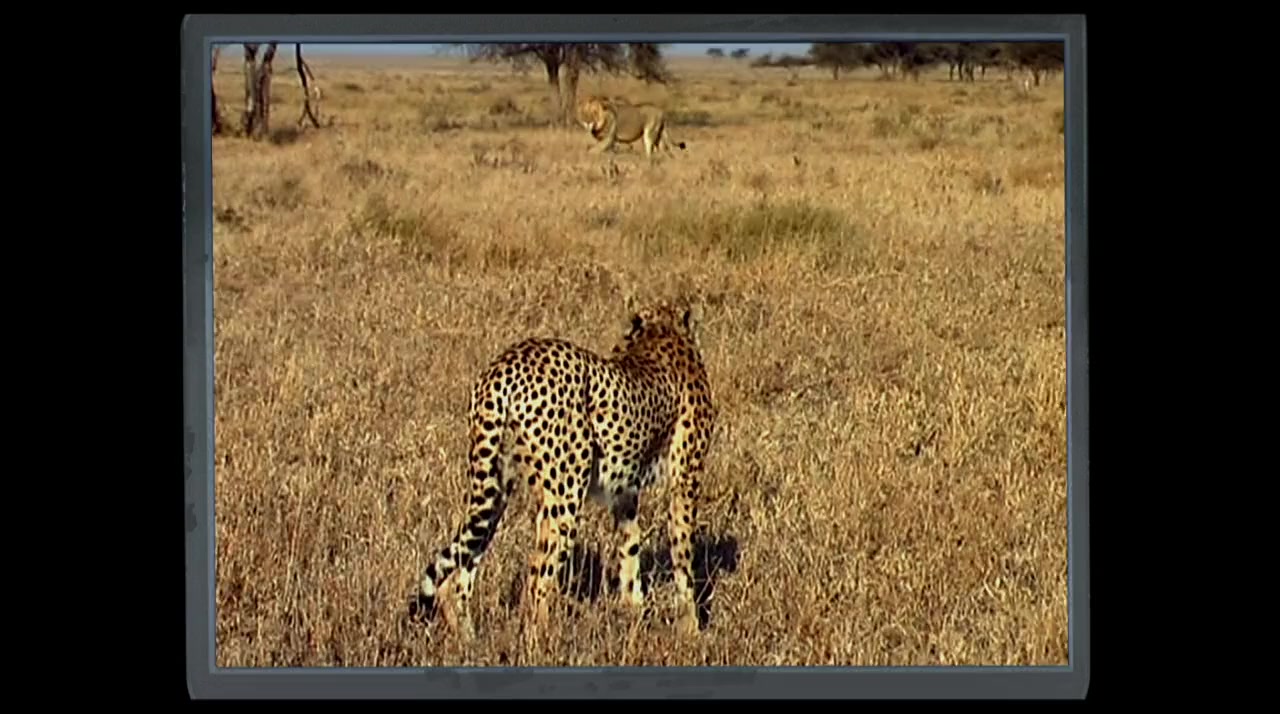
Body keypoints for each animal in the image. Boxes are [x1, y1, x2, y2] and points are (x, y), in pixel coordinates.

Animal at [408, 299, 716, 642]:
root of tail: (506, 365)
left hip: (494, 484)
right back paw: (542, 640)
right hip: (565, 492)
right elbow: (683, 552)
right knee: (537, 576)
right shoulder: (686, 476)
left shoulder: (624, 489)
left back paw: (468, 639)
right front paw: (692, 627)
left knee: (460, 570)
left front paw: (633, 611)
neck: (659, 330)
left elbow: (630, 544)